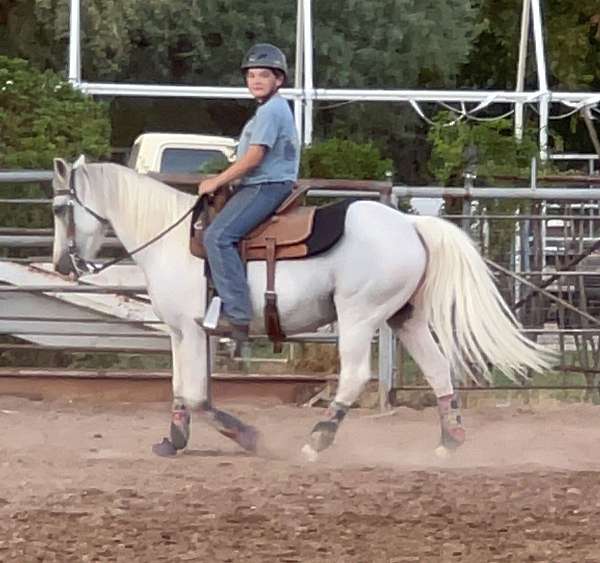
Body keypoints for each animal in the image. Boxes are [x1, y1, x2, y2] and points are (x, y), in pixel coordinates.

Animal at [50, 158, 552, 458]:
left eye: (59, 210)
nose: (61, 264)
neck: (172, 240)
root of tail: (411, 224)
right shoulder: (184, 332)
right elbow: (183, 390)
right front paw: (173, 441)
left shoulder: (191, 331)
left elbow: (194, 394)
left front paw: (248, 437)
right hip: (404, 317)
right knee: (438, 369)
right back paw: (450, 441)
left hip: (359, 316)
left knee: (355, 376)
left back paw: (319, 439)